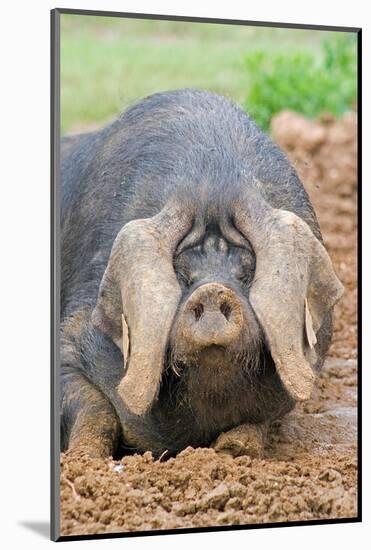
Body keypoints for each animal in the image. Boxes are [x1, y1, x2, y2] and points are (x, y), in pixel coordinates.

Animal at [59, 89, 344, 462]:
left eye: (246, 271)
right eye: (183, 274)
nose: (212, 291)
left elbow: (260, 421)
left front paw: (233, 449)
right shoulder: (70, 335)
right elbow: (95, 409)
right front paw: (86, 460)